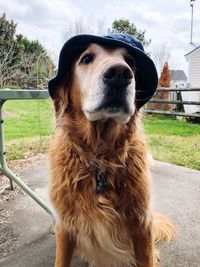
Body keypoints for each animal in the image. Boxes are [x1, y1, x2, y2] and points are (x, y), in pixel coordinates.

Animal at [48, 34, 175, 266]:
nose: (120, 74)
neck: (101, 159)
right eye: (86, 58)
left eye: (130, 63)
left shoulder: (142, 225)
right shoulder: (65, 227)